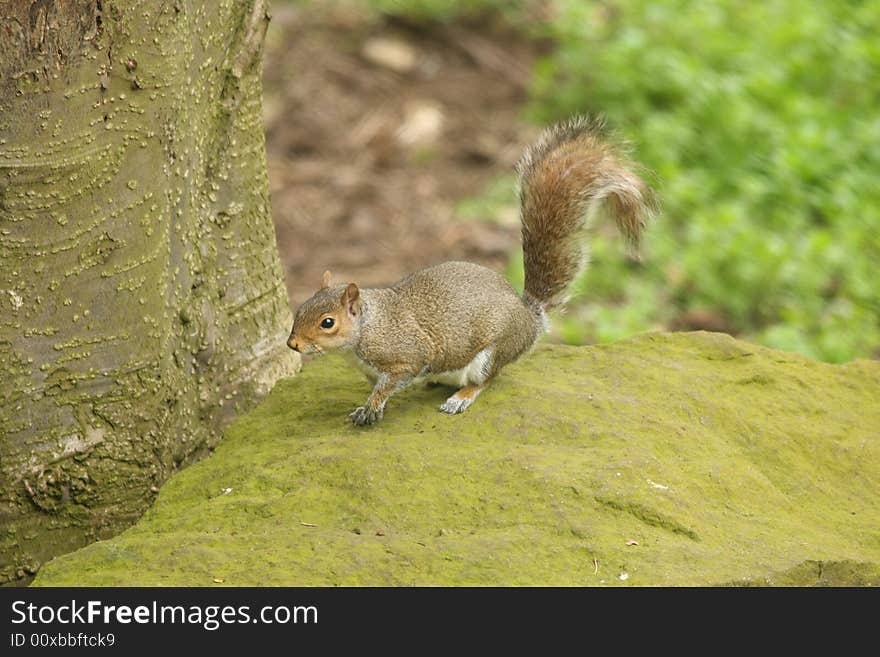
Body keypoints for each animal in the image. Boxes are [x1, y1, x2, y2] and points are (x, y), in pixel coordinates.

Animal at [288, 116, 652, 426]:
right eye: (300, 310)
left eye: (327, 322)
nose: (292, 344)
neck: (368, 326)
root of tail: (529, 318)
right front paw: (369, 403)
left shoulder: (406, 355)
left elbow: (393, 381)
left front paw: (372, 406)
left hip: (490, 354)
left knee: (488, 379)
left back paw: (461, 396)